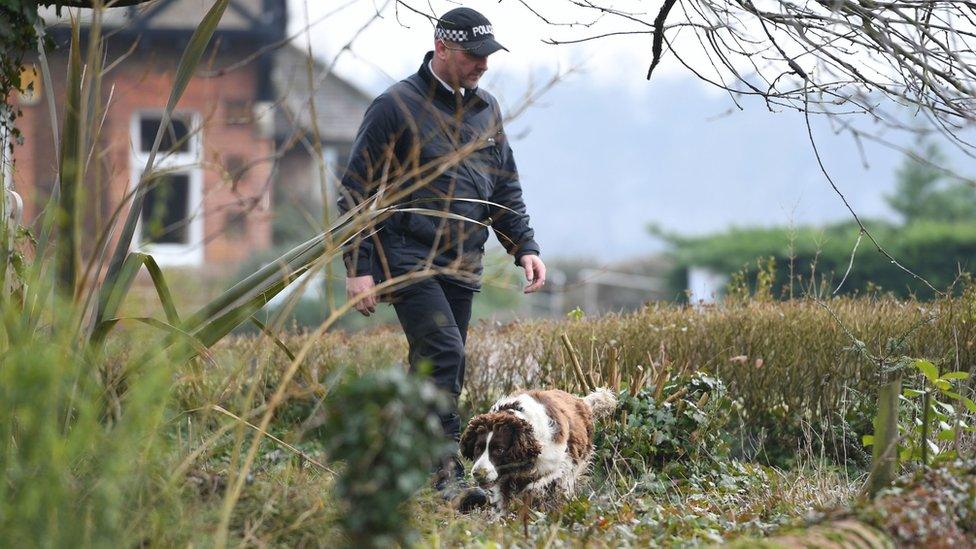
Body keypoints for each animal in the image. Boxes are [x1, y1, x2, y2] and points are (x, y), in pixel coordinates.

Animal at [460, 388, 612, 512]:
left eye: (499, 450)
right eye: (477, 448)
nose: (477, 473)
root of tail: (581, 401)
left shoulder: (559, 464)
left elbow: (538, 484)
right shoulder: (504, 480)